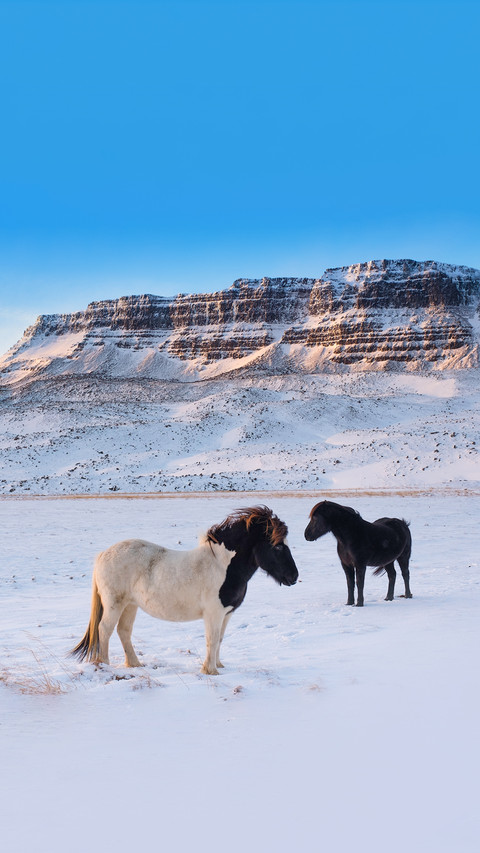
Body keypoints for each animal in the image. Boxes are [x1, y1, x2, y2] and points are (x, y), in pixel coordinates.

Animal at [71, 506, 298, 674]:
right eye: (277, 546)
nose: (294, 577)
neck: (222, 566)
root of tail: (103, 554)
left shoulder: (226, 613)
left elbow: (220, 639)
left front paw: (219, 666)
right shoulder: (213, 613)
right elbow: (212, 639)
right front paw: (210, 670)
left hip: (130, 605)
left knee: (123, 631)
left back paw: (134, 664)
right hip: (114, 604)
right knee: (104, 629)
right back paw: (105, 665)